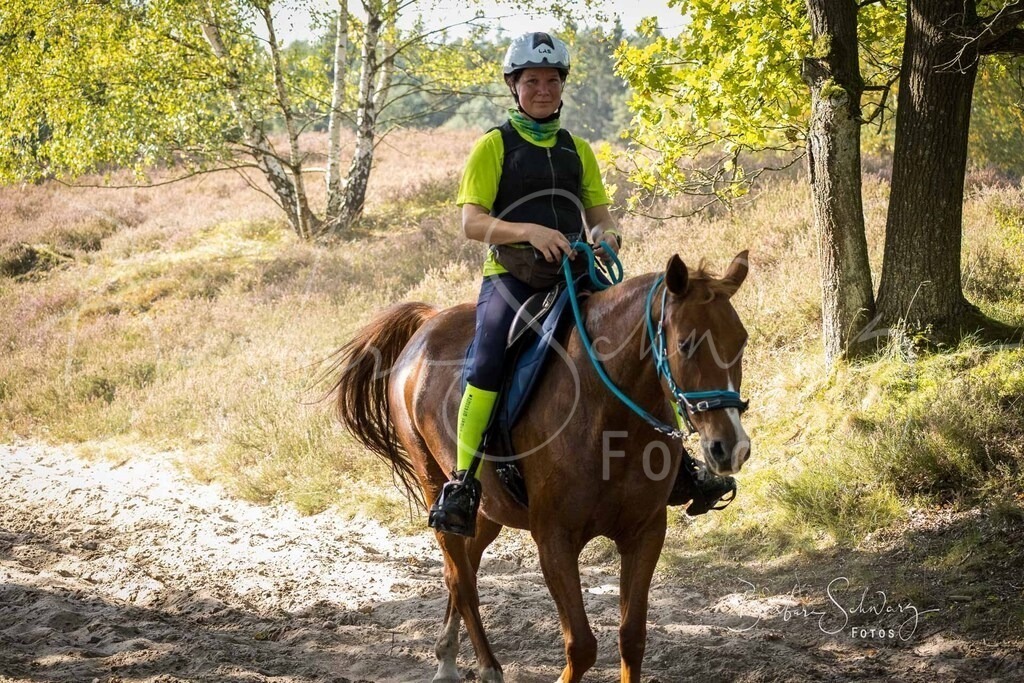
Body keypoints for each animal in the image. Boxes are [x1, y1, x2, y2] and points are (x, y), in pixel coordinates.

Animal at [329, 250, 751, 682]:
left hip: (488, 509)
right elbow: (581, 646)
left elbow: (632, 637)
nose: (730, 447)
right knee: (461, 579)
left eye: (741, 340)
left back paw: (447, 656)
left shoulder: (645, 532)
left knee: (464, 568)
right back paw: (486, 667)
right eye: (685, 343)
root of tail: (429, 324)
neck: (608, 414)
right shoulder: (554, 539)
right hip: (434, 484)